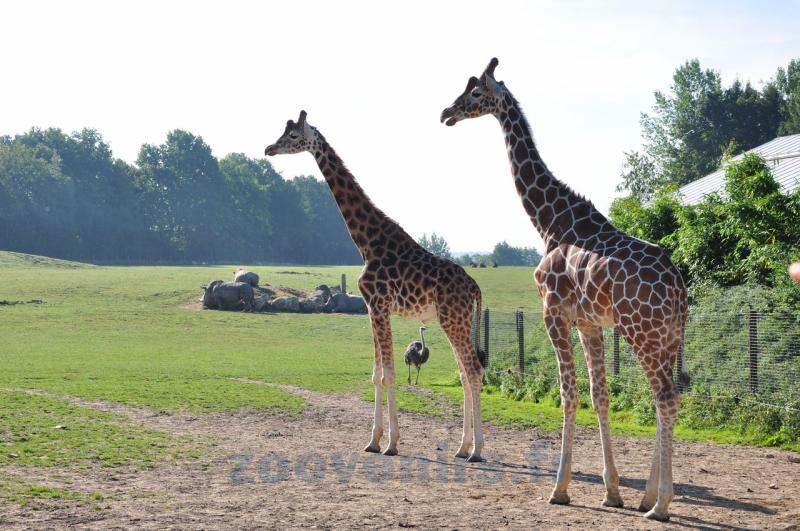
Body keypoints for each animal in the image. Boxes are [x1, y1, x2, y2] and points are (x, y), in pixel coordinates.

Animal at [265, 111, 486, 461]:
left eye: (293, 136)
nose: (269, 148)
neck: (367, 242)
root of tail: (476, 287)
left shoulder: (380, 306)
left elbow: (389, 373)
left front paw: (392, 444)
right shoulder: (372, 308)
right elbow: (375, 374)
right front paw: (373, 441)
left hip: (455, 319)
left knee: (474, 372)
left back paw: (477, 450)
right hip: (455, 321)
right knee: (466, 374)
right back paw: (462, 448)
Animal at [441, 59, 689, 521]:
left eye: (475, 94)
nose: (446, 112)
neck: (550, 221)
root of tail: (680, 288)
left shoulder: (553, 313)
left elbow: (568, 394)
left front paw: (560, 489)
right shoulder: (590, 323)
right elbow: (599, 395)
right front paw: (612, 492)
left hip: (642, 332)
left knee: (665, 398)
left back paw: (661, 505)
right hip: (667, 336)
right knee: (668, 396)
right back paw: (648, 497)